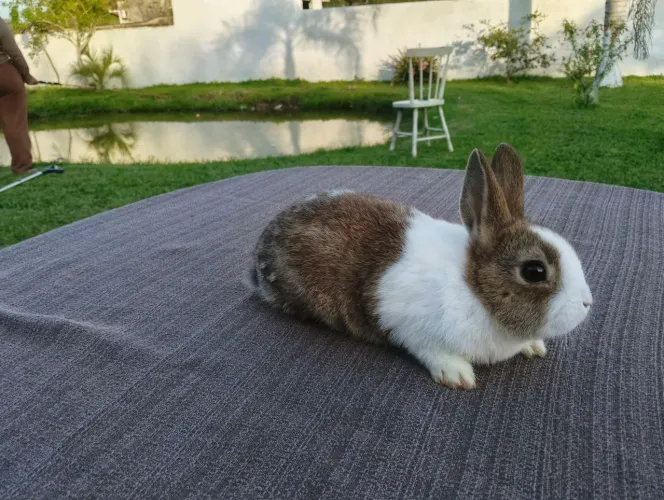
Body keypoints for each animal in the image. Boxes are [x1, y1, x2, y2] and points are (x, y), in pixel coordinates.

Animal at [247, 144, 593, 389]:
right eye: (534, 271)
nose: (587, 303)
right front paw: (458, 375)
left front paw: (535, 347)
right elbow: (430, 351)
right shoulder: (411, 327)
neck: (473, 287)